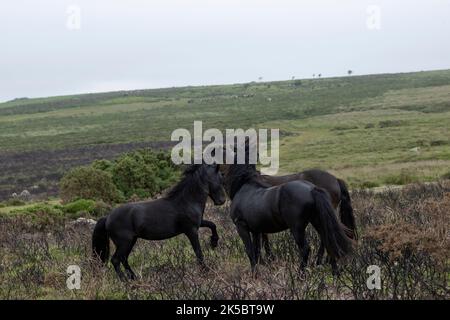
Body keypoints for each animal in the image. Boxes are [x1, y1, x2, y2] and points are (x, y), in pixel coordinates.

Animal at [92, 165, 225, 280]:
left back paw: (134, 278)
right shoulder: (191, 231)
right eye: (220, 178)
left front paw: (214, 243)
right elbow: (198, 253)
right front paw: (205, 270)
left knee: (124, 259)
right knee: (115, 260)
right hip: (124, 243)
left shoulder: (198, 223)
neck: (186, 201)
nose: (221, 201)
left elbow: (212, 225)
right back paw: (125, 281)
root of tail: (107, 217)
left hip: (131, 241)